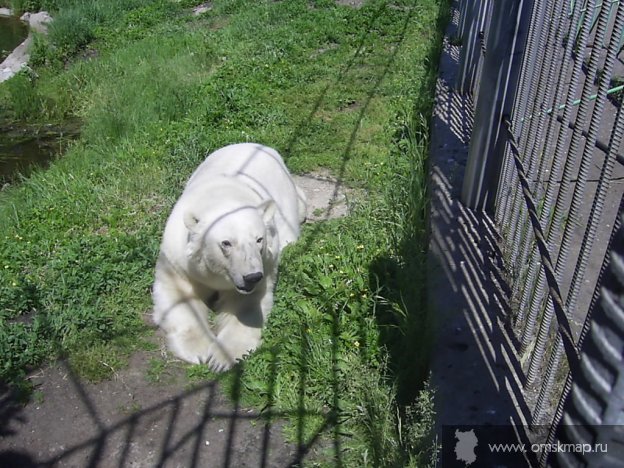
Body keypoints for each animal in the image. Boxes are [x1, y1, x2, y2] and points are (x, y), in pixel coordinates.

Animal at [152, 142, 308, 370]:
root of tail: (258, 144)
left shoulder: (265, 264)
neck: (222, 196)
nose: (252, 276)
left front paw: (221, 358)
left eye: (259, 239)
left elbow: (245, 304)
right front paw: (199, 351)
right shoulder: (178, 260)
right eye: (226, 243)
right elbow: (181, 295)